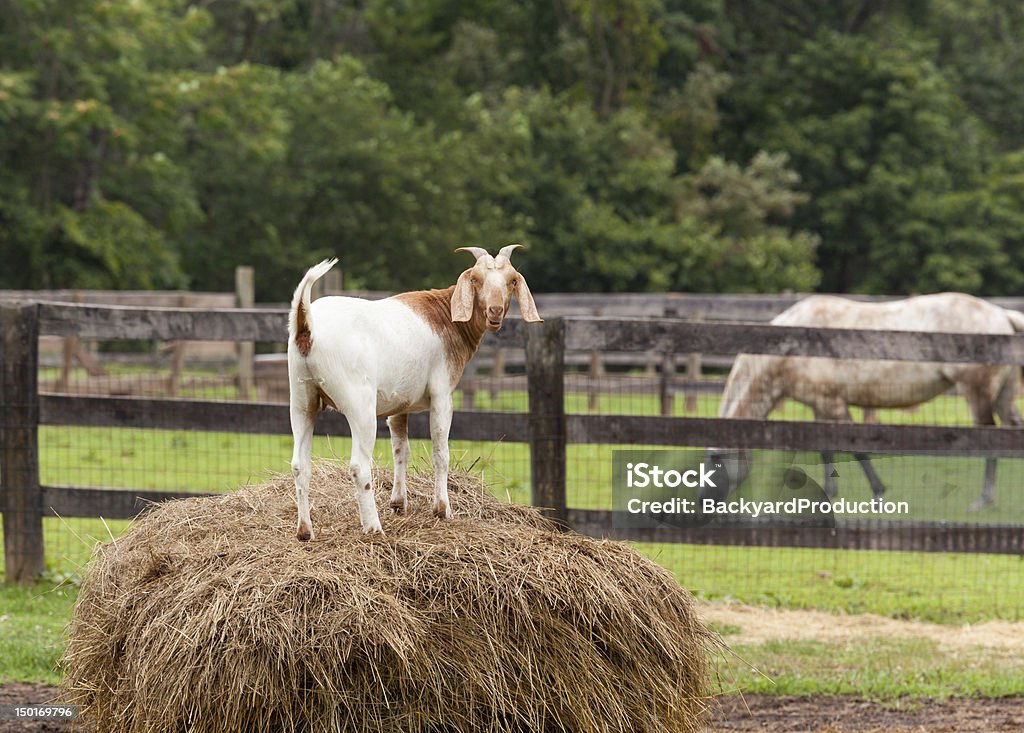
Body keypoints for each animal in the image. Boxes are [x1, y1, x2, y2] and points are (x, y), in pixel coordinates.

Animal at [288, 246, 544, 536]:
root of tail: (306, 324)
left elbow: (401, 449)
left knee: (299, 465)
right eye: (476, 279)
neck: (446, 317)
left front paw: (399, 504)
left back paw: (305, 531)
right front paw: (442, 510)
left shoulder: (399, 404)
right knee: (359, 466)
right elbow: (440, 452)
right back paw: (374, 528)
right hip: (360, 406)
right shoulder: (442, 394)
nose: (495, 311)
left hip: (302, 400)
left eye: (511, 281)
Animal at [704, 290, 1024, 509]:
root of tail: (1000, 314)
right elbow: (825, 450)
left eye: (713, 466)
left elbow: (855, 449)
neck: (789, 346)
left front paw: (878, 492)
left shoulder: (832, 403)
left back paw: (983, 500)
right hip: (1003, 396)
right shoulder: (819, 405)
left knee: (990, 438)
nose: (704, 503)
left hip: (977, 393)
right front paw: (829, 495)